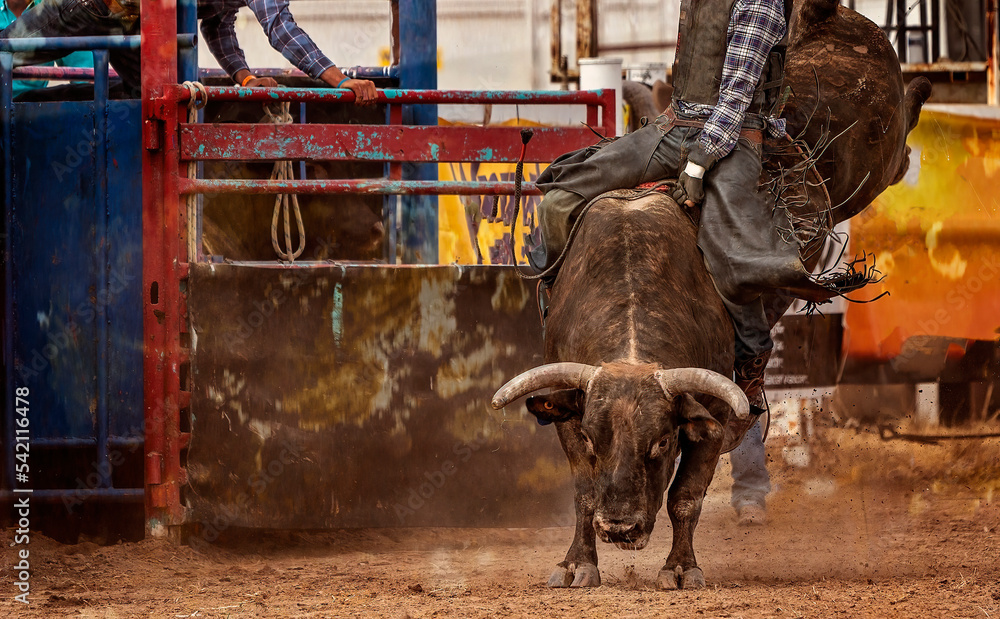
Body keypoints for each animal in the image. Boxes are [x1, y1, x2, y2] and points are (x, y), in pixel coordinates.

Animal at [491, 0, 931, 590]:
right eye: (597, 438)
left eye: (660, 442)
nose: (622, 528)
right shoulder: (567, 413)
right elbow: (583, 491)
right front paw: (578, 563)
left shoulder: (711, 418)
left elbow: (686, 497)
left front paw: (680, 568)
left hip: (867, 155)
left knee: (899, 142)